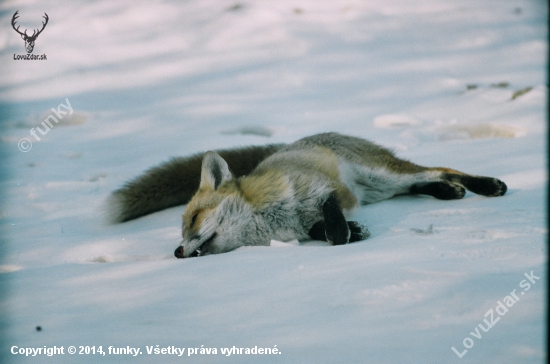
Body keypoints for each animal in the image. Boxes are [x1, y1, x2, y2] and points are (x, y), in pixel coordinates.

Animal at [110, 132, 512, 258]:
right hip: (381, 188)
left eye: (193, 219)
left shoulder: (320, 189)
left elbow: (332, 223)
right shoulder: (300, 228)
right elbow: (323, 231)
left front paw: (344, 233)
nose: (177, 252)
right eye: (181, 231)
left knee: (440, 168)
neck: (267, 219)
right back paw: (447, 192)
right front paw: (356, 231)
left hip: (381, 173)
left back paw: (485, 185)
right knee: (422, 183)